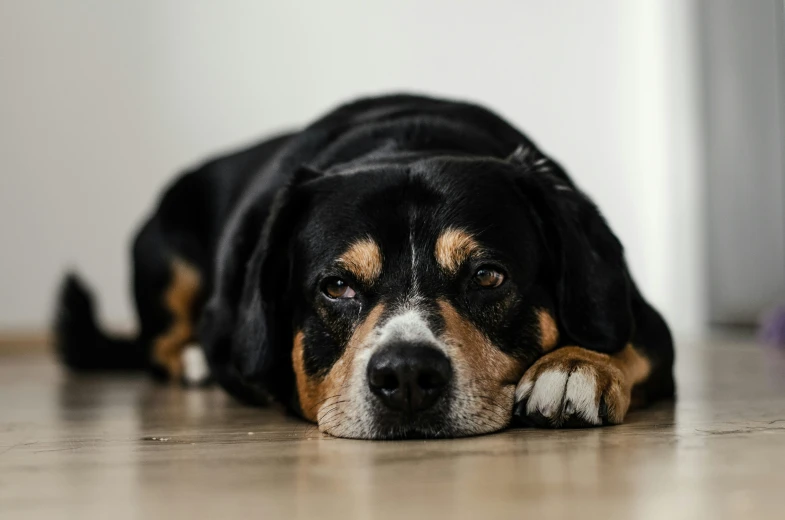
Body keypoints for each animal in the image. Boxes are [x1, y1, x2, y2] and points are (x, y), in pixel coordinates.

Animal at [53, 94, 672, 438]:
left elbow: (628, 341)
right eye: (336, 286)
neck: (408, 142)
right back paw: (193, 359)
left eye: (487, 276)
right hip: (166, 254)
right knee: (159, 342)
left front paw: (574, 367)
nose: (407, 376)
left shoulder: (641, 314)